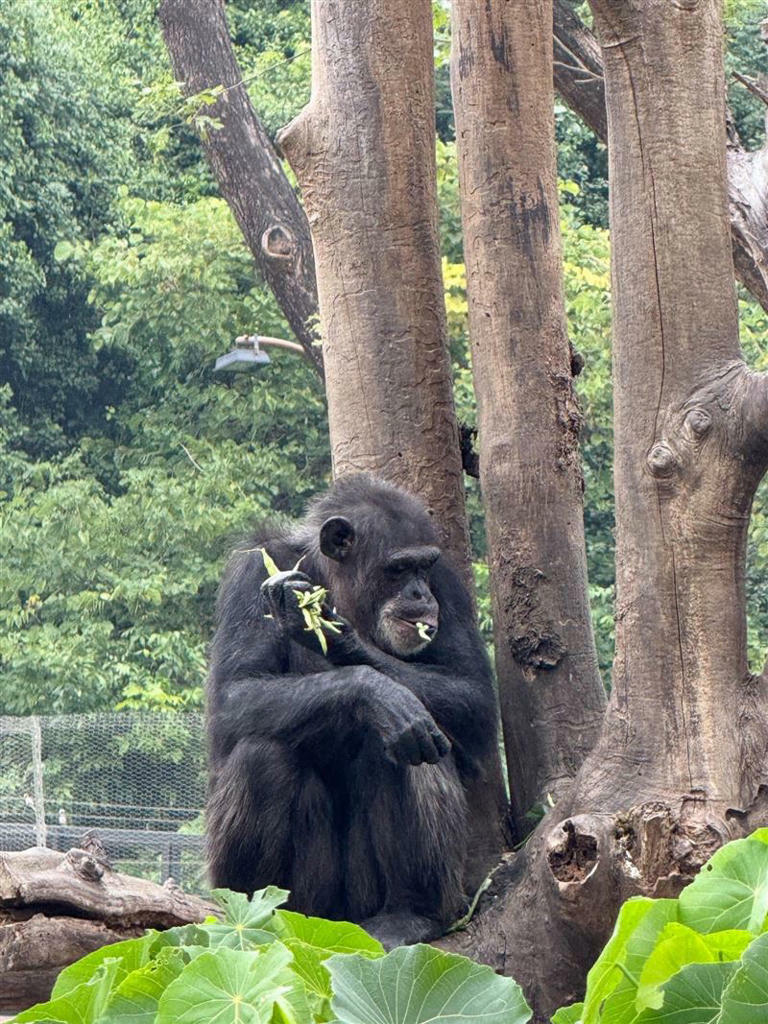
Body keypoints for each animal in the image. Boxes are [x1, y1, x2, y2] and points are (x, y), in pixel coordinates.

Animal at [207, 475, 501, 946]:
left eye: (423, 568)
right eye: (398, 569)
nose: (419, 593)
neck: (338, 583)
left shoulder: (449, 584)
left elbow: (472, 694)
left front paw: (336, 635)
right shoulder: (251, 572)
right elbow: (234, 694)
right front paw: (371, 689)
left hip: (367, 901)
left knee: (405, 744)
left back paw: (409, 914)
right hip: (314, 902)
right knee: (262, 754)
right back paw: (258, 913)